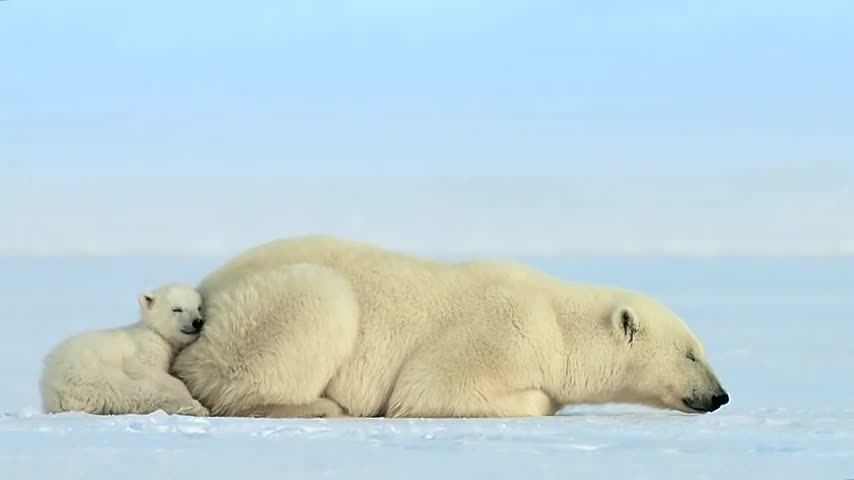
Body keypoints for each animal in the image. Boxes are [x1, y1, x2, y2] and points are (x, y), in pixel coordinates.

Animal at [41, 282, 211, 416]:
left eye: (198, 307)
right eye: (177, 309)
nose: (197, 322)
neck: (157, 333)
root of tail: (51, 395)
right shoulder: (144, 349)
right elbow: (148, 371)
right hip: (87, 376)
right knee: (130, 392)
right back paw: (194, 407)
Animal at [171, 234, 732, 418]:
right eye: (692, 353)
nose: (720, 395)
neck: (557, 323)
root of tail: (204, 289)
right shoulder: (502, 330)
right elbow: (433, 388)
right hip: (265, 311)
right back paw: (323, 407)